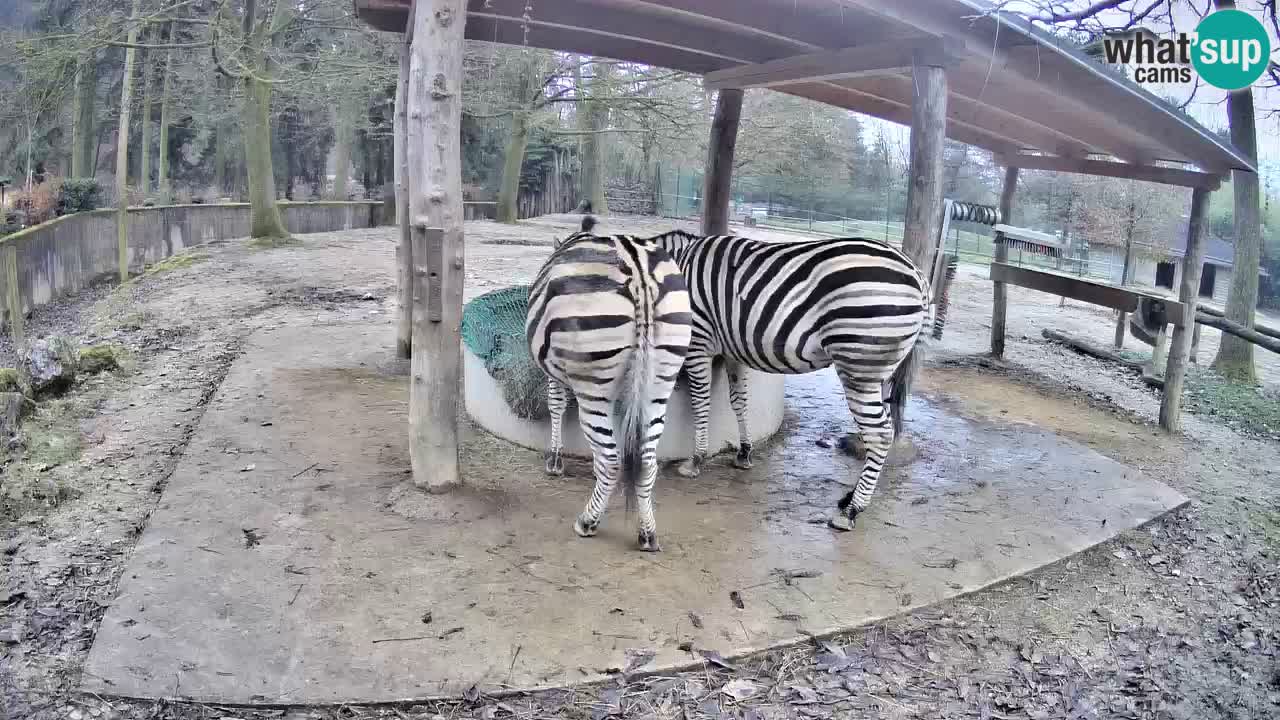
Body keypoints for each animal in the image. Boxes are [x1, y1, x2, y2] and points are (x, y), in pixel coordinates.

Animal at [525, 216, 692, 551]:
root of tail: (639, 272)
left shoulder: (555, 373)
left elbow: (556, 405)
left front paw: (555, 461)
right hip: (659, 382)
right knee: (646, 461)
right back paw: (647, 534)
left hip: (593, 383)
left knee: (613, 459)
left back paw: (587, 522)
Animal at [637, 228, 931, 531]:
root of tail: (916, 273)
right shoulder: (732, 350)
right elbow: (739, 402)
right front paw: (744, 453)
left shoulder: (698, 342)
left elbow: (701, 402)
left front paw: (695, 460)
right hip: (883, 370)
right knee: (885, 428)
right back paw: (848, 499)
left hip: (859, 363)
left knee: (879, 434)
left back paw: (851, 511)